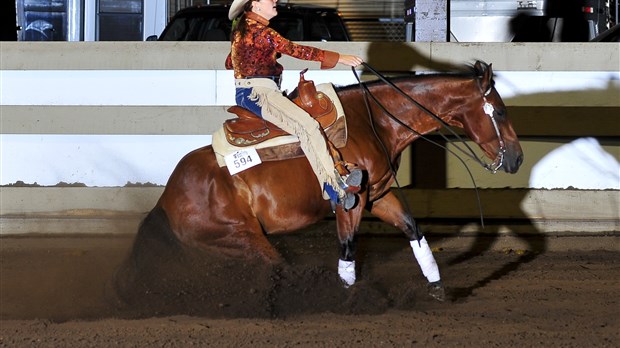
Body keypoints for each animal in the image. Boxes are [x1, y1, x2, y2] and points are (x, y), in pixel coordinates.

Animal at [137, 61, 524, 300]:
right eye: (501, 111)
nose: (518, 158)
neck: (375, 120)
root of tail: (167, 198)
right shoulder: (350, 201)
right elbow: (348, 249)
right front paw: (350, 300)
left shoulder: (378, 195)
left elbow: (414, 230)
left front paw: (437, 288)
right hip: (242, 238)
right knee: (273, 266)